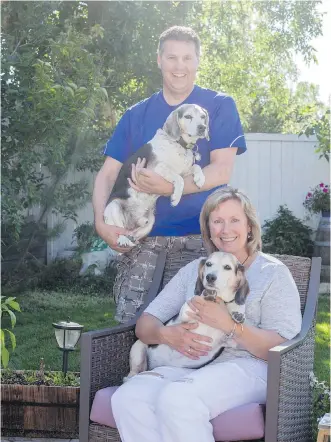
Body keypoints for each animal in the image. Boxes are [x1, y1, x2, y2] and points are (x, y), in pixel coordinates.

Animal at [124, 250, 249, 382]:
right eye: (208, 264)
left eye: (227, 267)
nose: (210, 277)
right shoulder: (185, 313)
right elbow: (193, 303)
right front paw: (206, 295)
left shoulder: (231, 341)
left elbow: (234, 306)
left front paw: (238, 312)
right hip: (138, 347)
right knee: (130, 375)